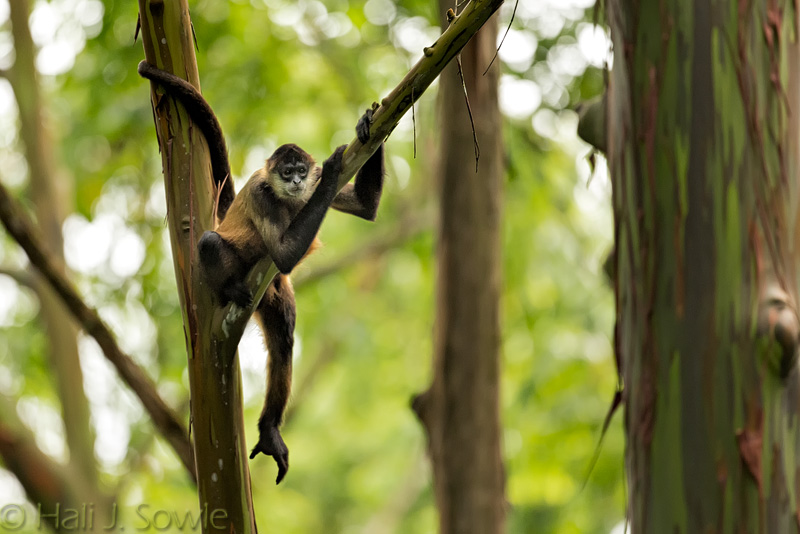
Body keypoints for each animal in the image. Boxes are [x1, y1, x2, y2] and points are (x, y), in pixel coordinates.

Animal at [138, 61, 385, 484]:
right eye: (286, 173)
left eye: (300, 170)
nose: (298, 180)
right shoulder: (260, 193)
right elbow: (283, 255)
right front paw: (334, 167)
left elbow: (366, 208)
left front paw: (369, 121)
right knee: (209, 242)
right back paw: (230, 290)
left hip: (276, 291)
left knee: (283, 338)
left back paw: (269, 429)